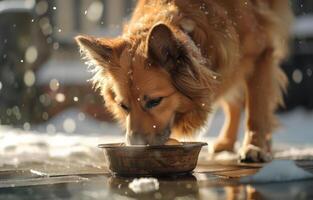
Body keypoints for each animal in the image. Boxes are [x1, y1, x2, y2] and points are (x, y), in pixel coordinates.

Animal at [75, 0, 292, 162]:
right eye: (123, 106)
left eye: (155, 101)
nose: (134, 148)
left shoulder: (261, 53)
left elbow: (256, 109)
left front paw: (255, 146)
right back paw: (226, 142)